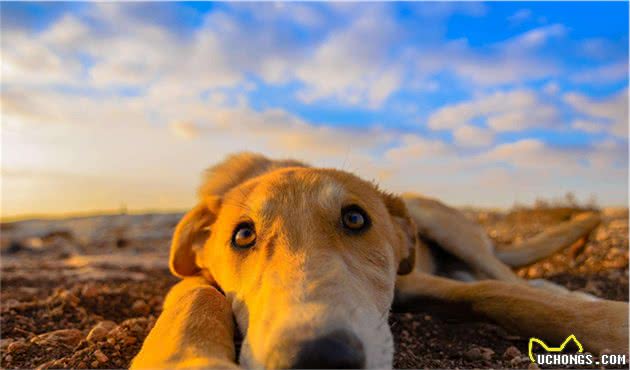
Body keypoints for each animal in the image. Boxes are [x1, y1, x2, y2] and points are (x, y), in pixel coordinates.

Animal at [131, 152, 628, 368]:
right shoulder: (192, 279)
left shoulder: (411, 282)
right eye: (243, 234)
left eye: (355, 218)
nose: (321, 359)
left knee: (502, 274)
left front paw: (609, 322)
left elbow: (499, 293)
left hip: (439, 221)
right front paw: (188, 359)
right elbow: (192, 300)